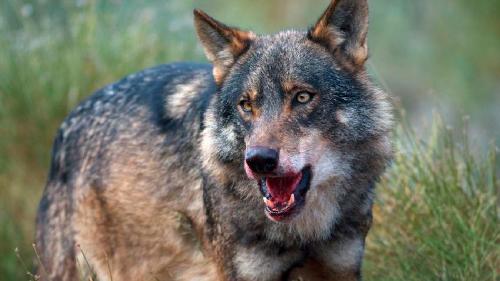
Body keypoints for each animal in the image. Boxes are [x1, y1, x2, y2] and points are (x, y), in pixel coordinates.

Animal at [36, 0, 390, 278]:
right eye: (246, 105)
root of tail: (68, 123)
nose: (259, 161)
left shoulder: (340, 268)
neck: (305, 233)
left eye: (302, 97)